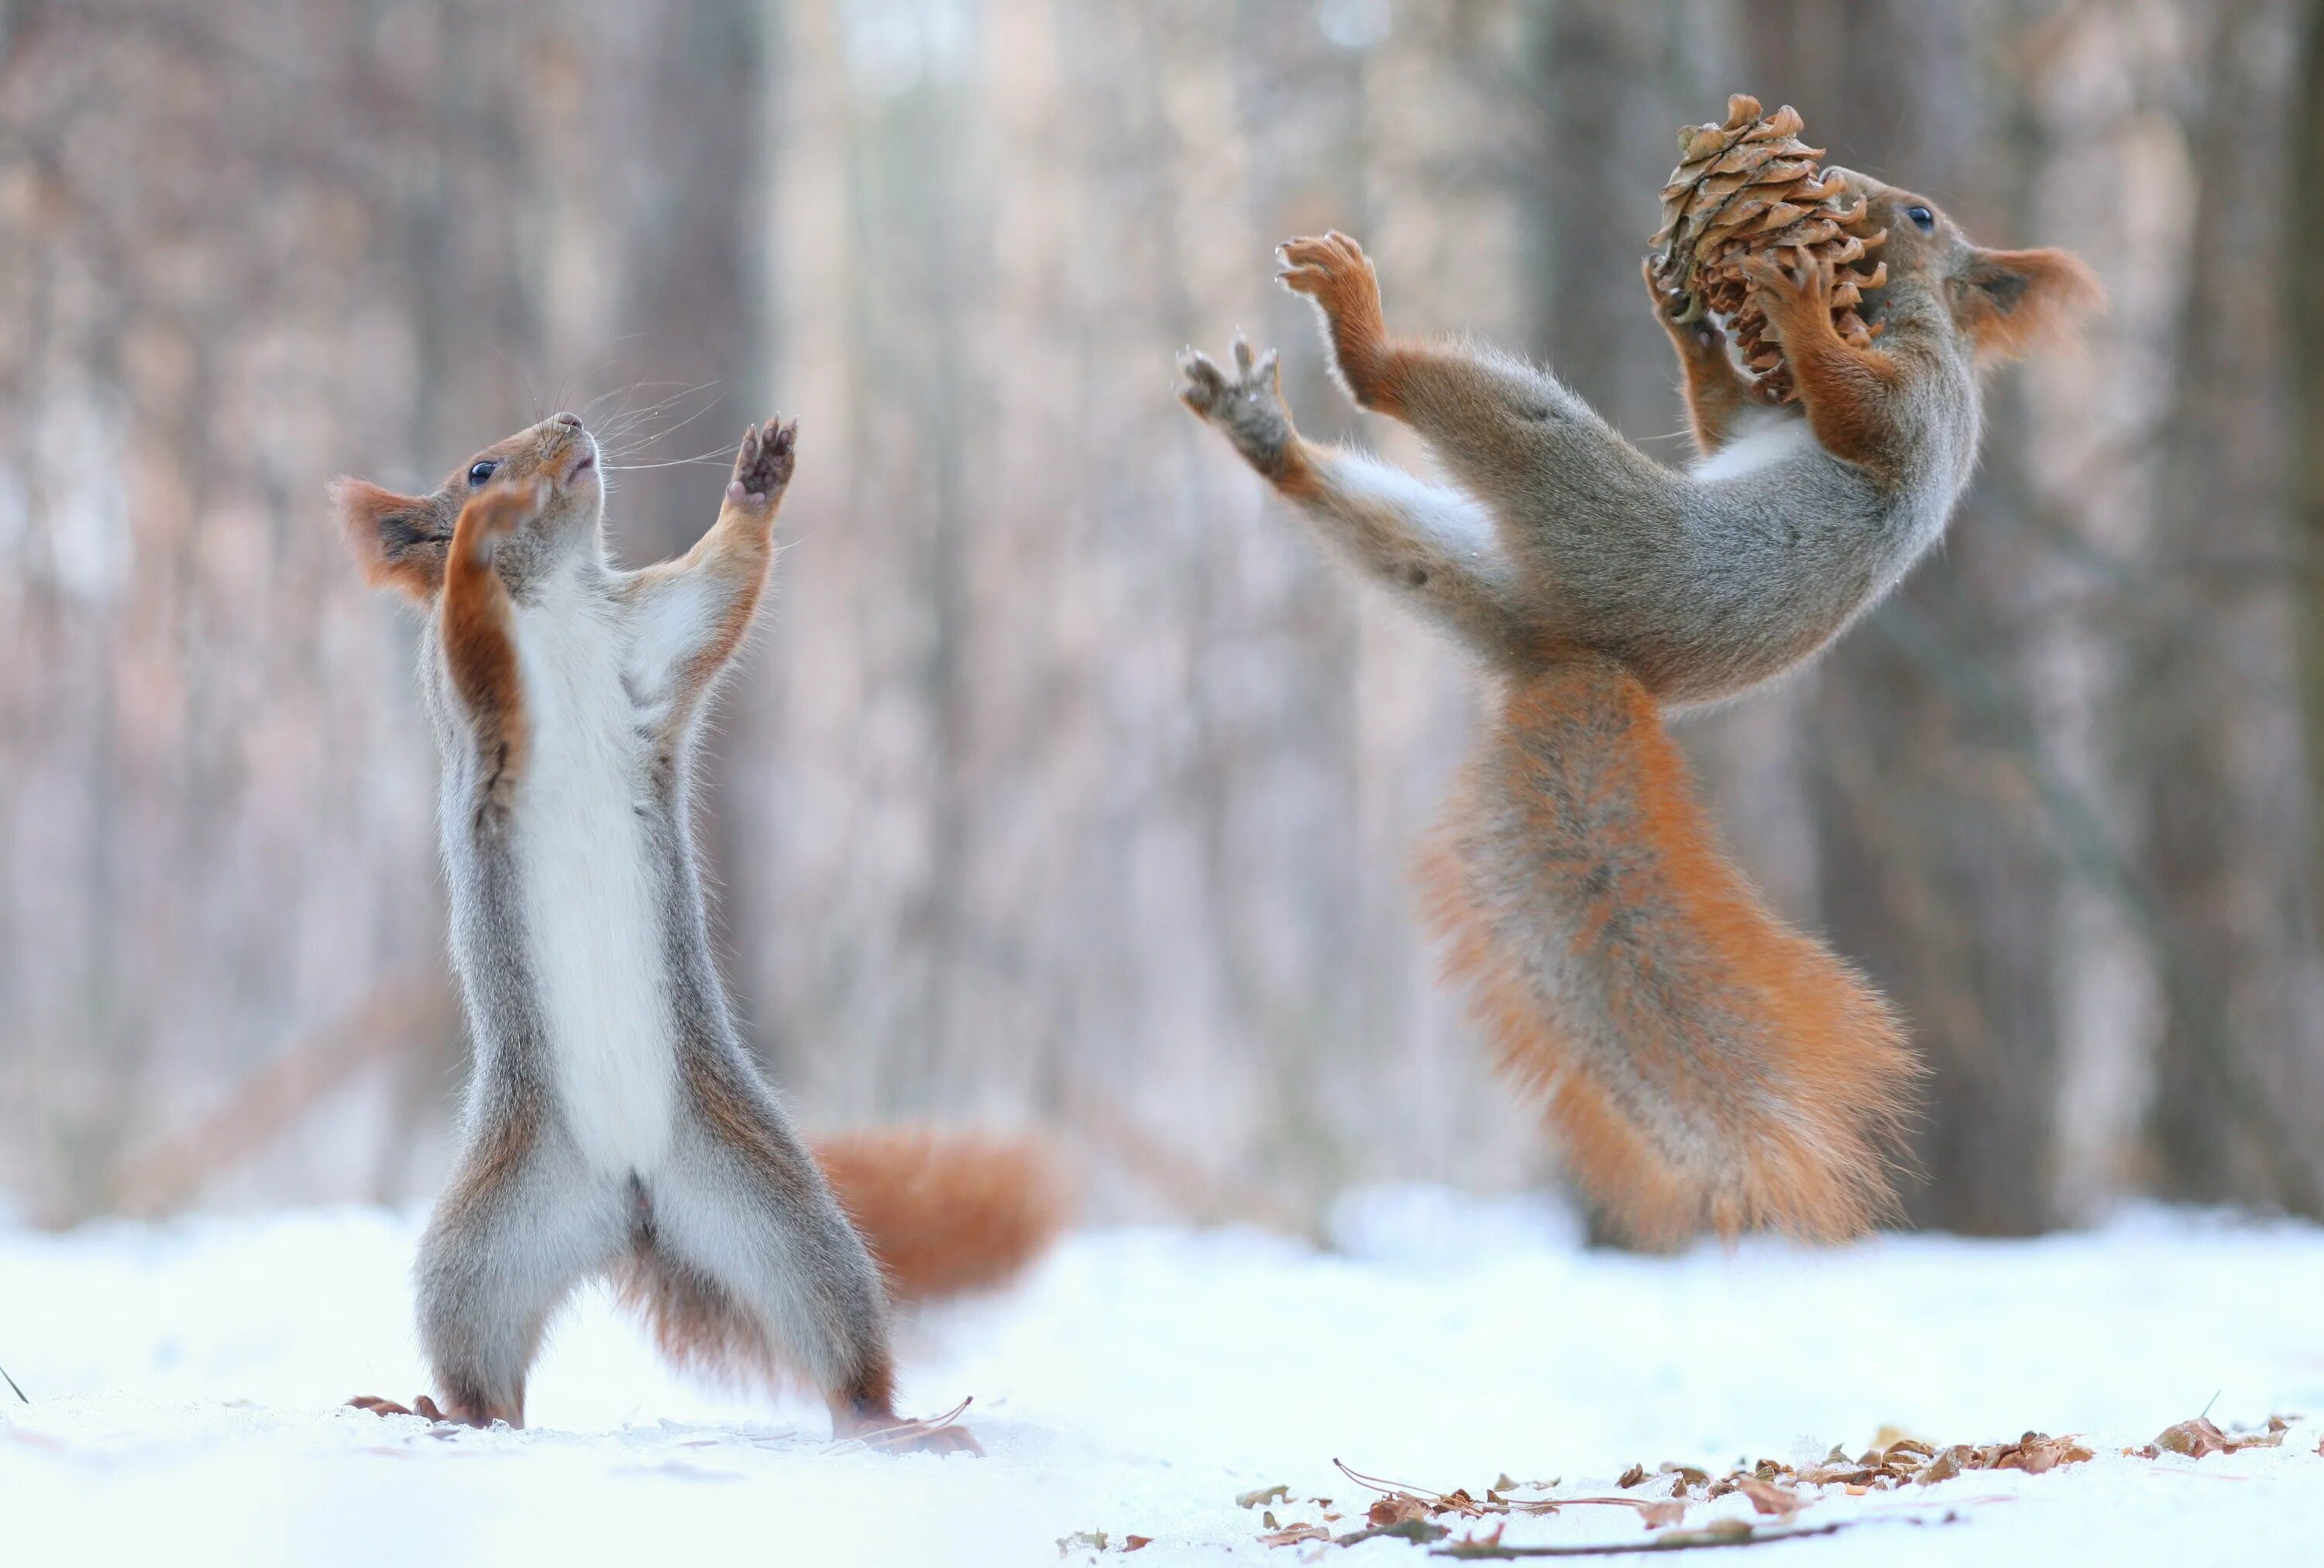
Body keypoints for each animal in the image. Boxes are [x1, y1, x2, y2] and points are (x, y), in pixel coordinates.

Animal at [332, 411, 1064, 1440]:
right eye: (476, 467)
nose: (571, 423)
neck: (555, 600)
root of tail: (632, 1200)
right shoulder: (473, 692)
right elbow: (472, 626)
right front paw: (479, 536)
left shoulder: (650, 638)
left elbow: (722, 584)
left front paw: (757, 481)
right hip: (480, 1246)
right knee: (486, 1375)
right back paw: (439, 1410)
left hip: (777, 1212)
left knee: (837, 1339)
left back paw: (894, 1422)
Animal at [1181, 171, 2110, 1245]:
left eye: (1920, 218)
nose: (1843, 190)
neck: (1896, 314)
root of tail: (1580, 657)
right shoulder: (1759, 421)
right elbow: (1724, 422)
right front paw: (1693, 325)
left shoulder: (1920, 403)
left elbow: (1858, 414)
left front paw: (1794, 307)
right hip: (1460, 566)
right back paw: (1265, 435)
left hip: (1578, 490)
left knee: (1418, 395)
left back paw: (1356, 325)